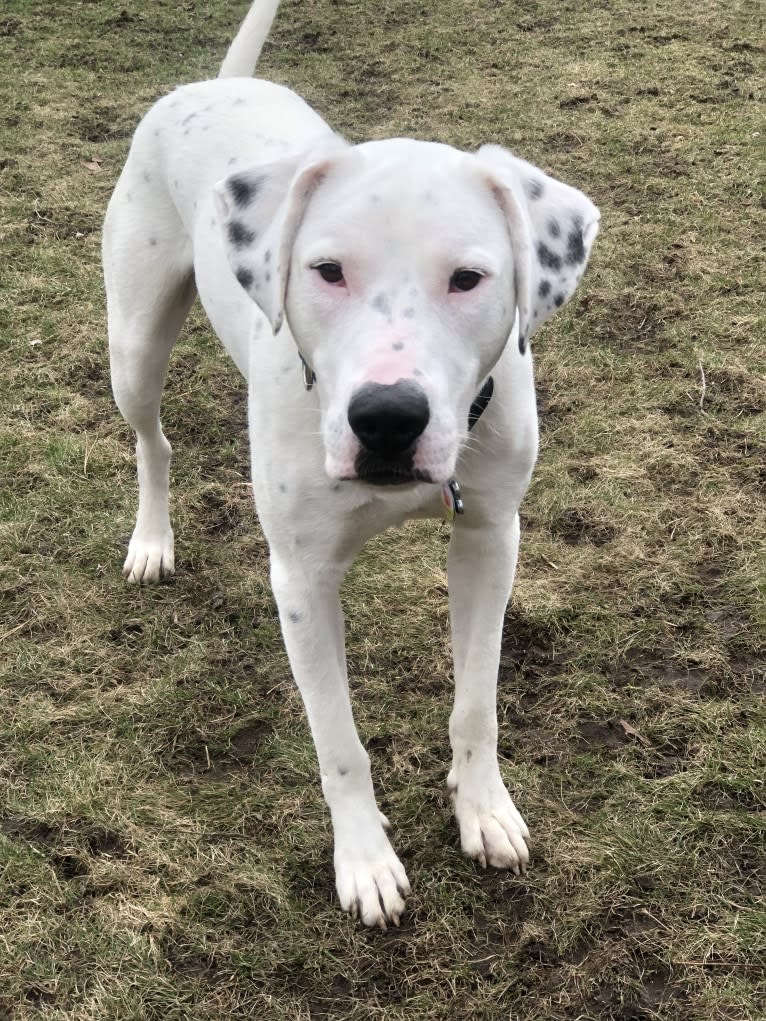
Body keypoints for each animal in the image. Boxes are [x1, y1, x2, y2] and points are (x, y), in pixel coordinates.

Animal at [103, 0, 600, 927]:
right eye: (326, 270)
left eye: (469, 278)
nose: (388, 418)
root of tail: (214, 83)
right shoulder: (301, 580)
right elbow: (339, 744)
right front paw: (365, 859)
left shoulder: (490, 541)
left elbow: (476, 701)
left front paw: (483, 807)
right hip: (135, 344)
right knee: (154, 439)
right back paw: (152, 540)